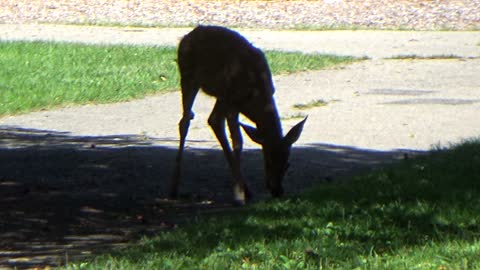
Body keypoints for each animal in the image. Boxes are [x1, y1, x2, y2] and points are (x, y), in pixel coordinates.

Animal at [171, 26, 308, 206]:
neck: (256, 94)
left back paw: (246, 188)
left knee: (213, 120)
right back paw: (175, 187)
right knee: (185, 122)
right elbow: (238, 141)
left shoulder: (230, 100)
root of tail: (190, 34)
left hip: (219, 95)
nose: (277, 190)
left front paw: (242, 190)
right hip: (188, 77)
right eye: (268, 159)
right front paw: (238, 195)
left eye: (287, 163)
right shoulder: (232, 103)